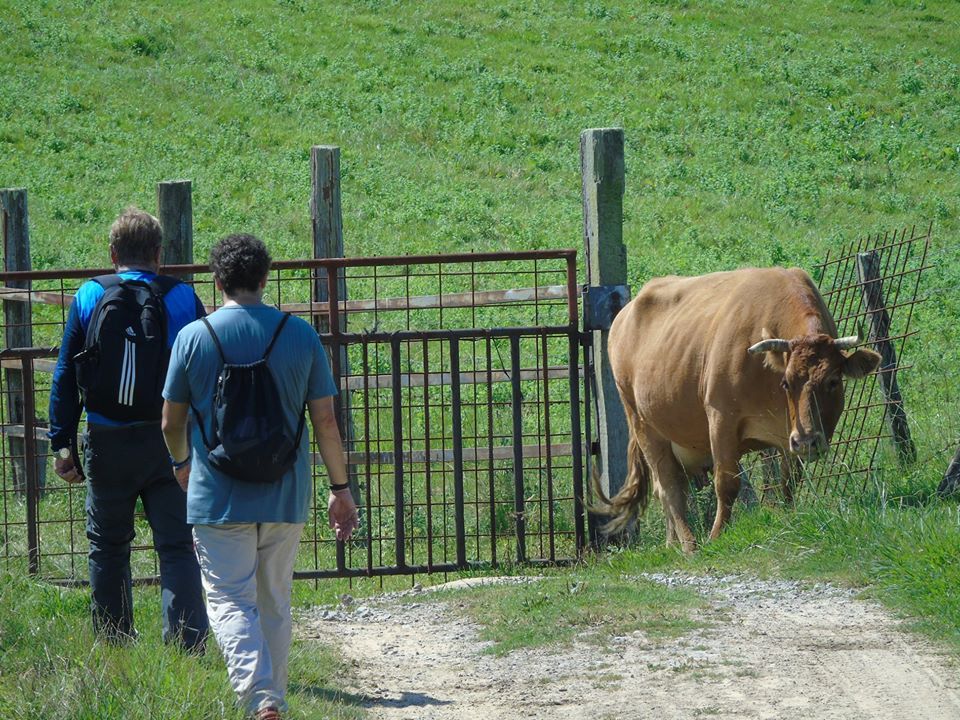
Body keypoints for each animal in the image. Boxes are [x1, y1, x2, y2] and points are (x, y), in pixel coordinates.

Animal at [591, 267, 881, 553]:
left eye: (833, 381)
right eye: (786, 382)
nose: (808, 441)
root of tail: (624, 315)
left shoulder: (788, 435)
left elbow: (789, 481)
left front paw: (790, 517)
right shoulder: (722, 418)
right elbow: (727, 484)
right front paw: (717, 535)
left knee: (673, 489)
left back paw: (672, 544)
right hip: (643, 424)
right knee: (668, 487)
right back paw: (689, 545)